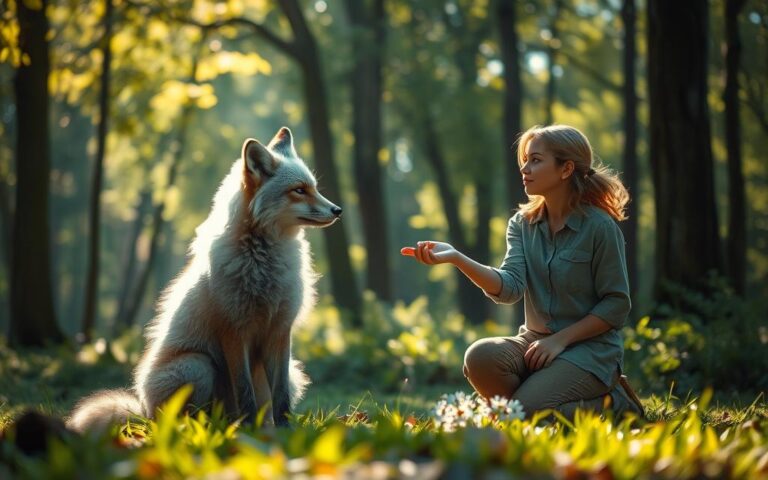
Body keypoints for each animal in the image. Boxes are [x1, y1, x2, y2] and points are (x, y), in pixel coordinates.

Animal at [67, 127, 342, 432]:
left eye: (314, 188)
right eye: (299, 190)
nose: (338, 210)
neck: (263, 264)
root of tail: (144, 411)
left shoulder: (281, 331)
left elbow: (280, 396)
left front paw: (285, 431)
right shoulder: (233, 330)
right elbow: (244, 390)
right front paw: (248, 429)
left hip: (291, 371)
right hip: (198, 365)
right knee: (186, 419)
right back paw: (215, 429)